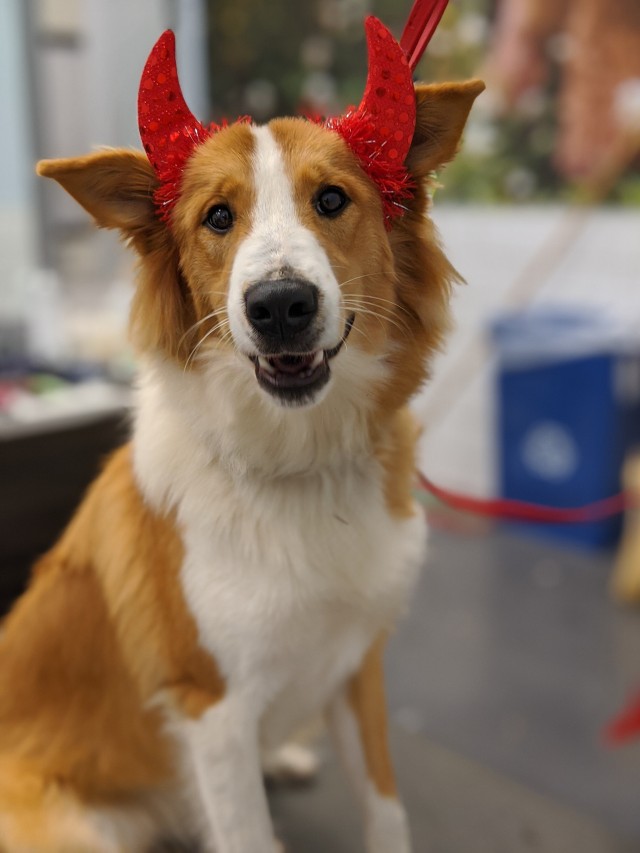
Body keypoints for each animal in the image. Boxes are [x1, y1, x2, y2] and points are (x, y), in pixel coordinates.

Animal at [0, 15, 482, 852]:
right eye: (218, 217)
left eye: (332, 199)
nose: (280, 304)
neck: (301, 463)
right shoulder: (213, 710)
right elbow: (248, 830)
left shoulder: (360, 661)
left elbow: (386, 804)